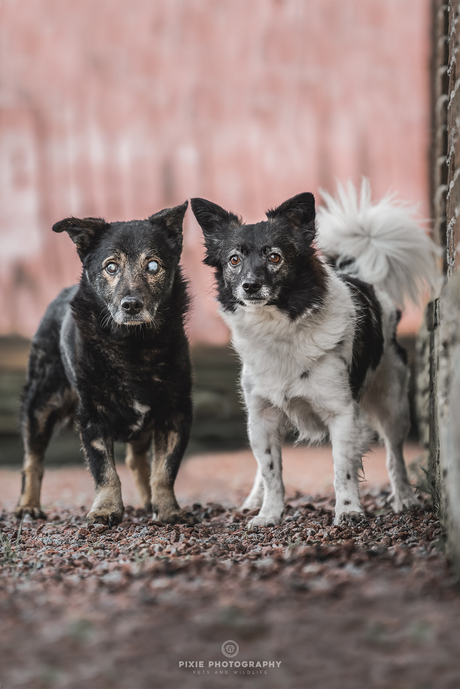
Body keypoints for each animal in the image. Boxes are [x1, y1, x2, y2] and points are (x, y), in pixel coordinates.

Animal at [16, 202, 195, 524]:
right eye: (111, 266)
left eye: (153, 265)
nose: (131, 305)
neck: (133, 345)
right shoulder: (93, 416)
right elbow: (104, 470)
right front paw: (106, 510)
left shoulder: (175, 413)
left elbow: (164, 471)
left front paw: (168, 510)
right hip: (41, 404)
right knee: (32, 459)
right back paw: (28, 506)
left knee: (137, 461)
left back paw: (149, 502)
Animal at [191, 181, 438, 528]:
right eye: (234, 260)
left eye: (275, 257)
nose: (250, 286)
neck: (279, 329)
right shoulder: (262, 417)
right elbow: (271, 471)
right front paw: (269, 514)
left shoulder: (343, 414)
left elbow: (342, 469)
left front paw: (348, 511)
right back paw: (253, 500)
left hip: (394, 404)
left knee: (395, 454)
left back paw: (405, 498)